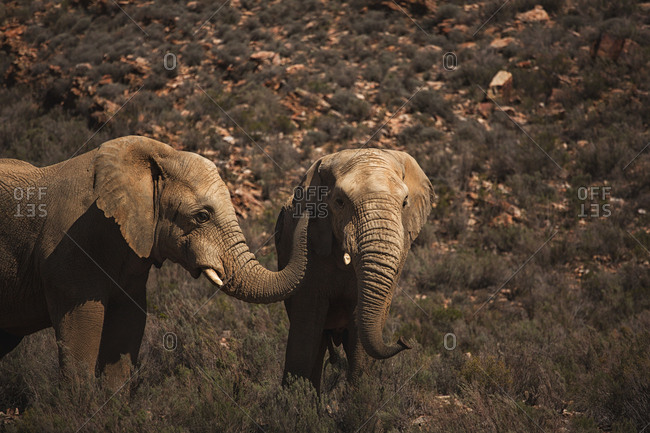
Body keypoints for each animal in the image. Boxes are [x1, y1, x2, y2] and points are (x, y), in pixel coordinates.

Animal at [0, 136, 307, 386]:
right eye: (202, 216)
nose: (294, 205)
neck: (157, 155)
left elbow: (127, 329)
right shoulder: (70, 251)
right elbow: (80, 340)